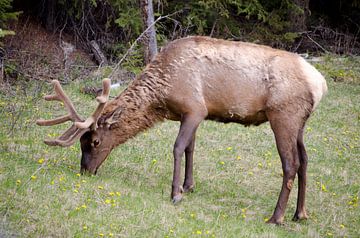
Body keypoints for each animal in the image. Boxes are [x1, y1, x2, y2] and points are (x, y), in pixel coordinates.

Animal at [36, 35, 326, 223]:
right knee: (305, 160)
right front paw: (189, 186)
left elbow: (177, 147)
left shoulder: (195, 108)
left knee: (290, 164)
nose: (85, 170)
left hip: (283, 115)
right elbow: (190, 148)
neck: (162, 94)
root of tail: (320, 84)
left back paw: (276, 217)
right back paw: (300, 214)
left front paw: (175, 193)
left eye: (94, 141)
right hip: (300, 122)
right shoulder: (193, 114)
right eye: (81, 142)